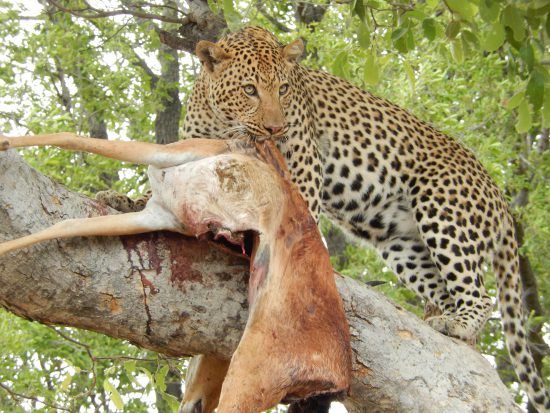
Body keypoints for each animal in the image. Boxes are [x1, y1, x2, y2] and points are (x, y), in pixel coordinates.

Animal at [101, 27, 548, 410]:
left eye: (282, 89)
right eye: (249, 90)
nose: (275, 127)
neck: (222, 120)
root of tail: (499, 197)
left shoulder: (302, 172)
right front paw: (121, 198)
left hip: (443, 210)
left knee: (479, 296)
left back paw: (460, 323)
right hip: (401, 244)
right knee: (445, 294)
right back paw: (446, 324)